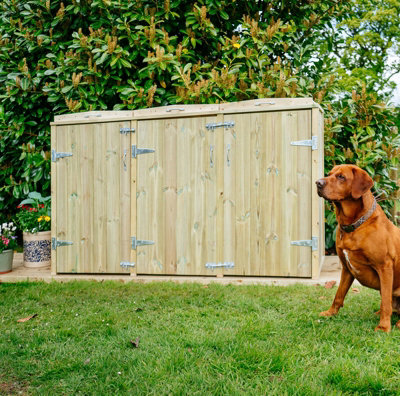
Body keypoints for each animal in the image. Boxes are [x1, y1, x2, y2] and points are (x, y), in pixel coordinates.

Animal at [316, 164, 400, 332]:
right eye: (330, 174)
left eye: (341, 177)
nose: (318, 183)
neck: (354, 226)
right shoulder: (346, 269)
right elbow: (338, 295)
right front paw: (330, 313)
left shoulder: (385, 267)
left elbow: (386, 302)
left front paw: (383, 327)